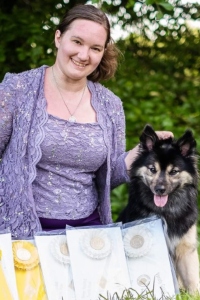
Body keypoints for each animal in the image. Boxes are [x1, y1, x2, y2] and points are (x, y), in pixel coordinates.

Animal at [118, 124, 199, 292]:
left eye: (173, 171)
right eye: (152, 169)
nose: (159, 189)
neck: (165, 211)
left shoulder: (185, 248)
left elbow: (193, 280)